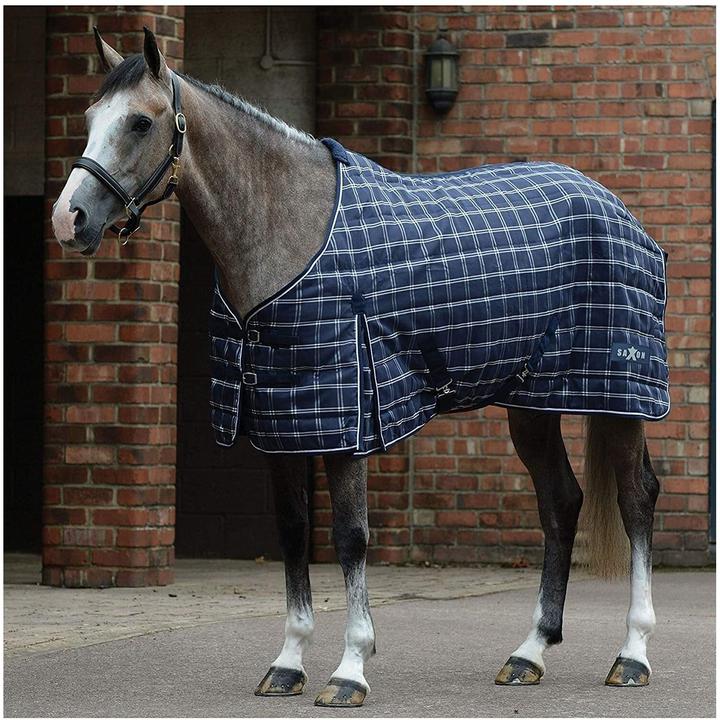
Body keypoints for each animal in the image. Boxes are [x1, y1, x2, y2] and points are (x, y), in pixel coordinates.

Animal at [52, 28, 666, 706]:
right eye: (88, 117)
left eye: (139, 121)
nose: (68, 219)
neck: (289, 231)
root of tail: (614, 206)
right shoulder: (282, 422)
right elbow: (294, 532)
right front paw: (288, 664)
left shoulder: (344, 417)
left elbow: (350, 536)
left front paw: (350, 669)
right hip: (532, 403)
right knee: (560, 501)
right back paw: (528, 653)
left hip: (621, 395)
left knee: (636, 499)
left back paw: (633, 655)